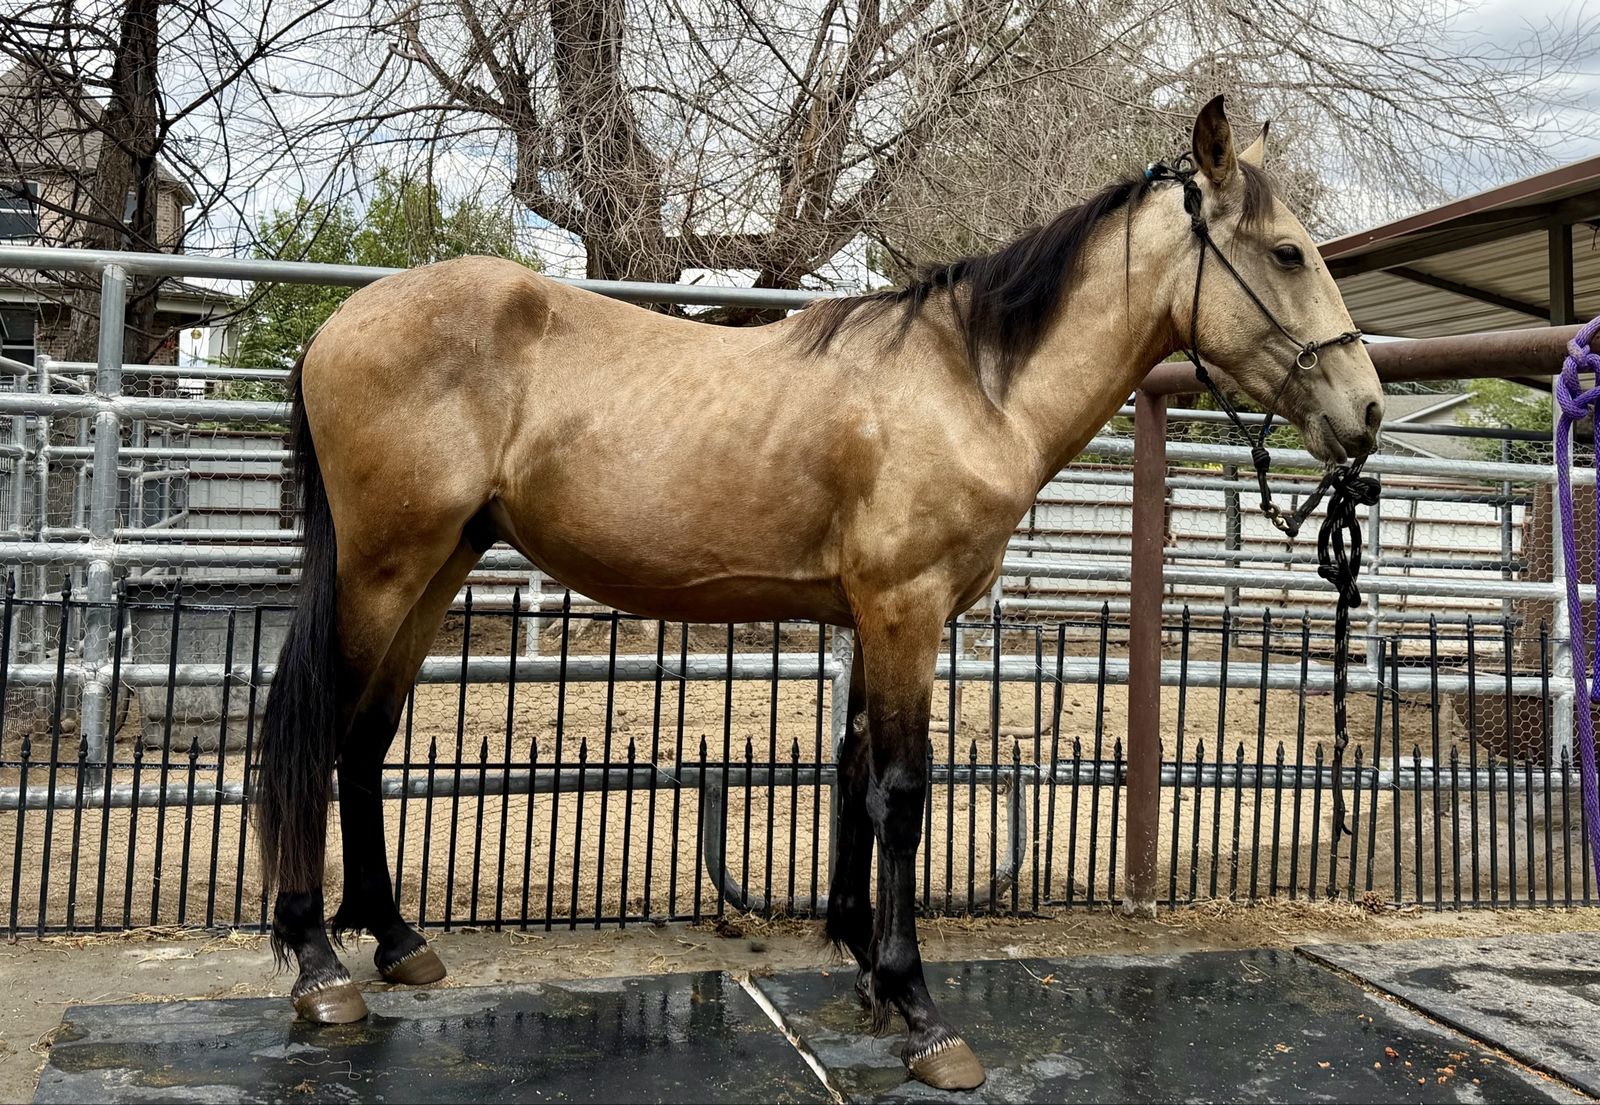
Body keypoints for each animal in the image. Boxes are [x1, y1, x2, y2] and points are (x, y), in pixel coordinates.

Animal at [254, 96, 1383, 1091]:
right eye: (1288, 252)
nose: (1365, 411)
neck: (967, 384)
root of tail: (340, 324)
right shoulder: (906, 610)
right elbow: (901, 794)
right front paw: (919, 1010)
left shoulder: (869, 619)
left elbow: (854, 775)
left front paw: (866, 971)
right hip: (384, 568)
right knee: (318, 726)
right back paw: (318, 966)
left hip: (439, 565)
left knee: (367, 736)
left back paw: (398, 940)